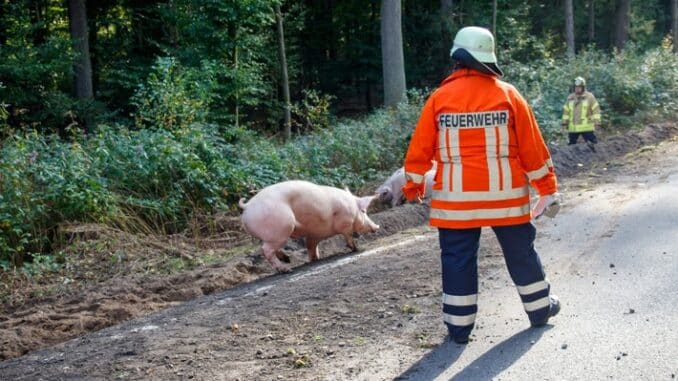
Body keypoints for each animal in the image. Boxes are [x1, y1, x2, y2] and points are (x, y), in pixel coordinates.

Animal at [239, 180, 380, 272]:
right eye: (364, 211)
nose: (376, 227)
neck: (353, 209)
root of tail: (247, 206)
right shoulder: (345, 223)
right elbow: (348, 235)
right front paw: (356, 248)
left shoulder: (314, 234)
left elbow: (311, 246)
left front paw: (315, 259)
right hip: (281, 229)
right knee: (266, 250)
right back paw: (286, 269)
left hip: (272, 235)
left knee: (268, 248)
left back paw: (287, 259)